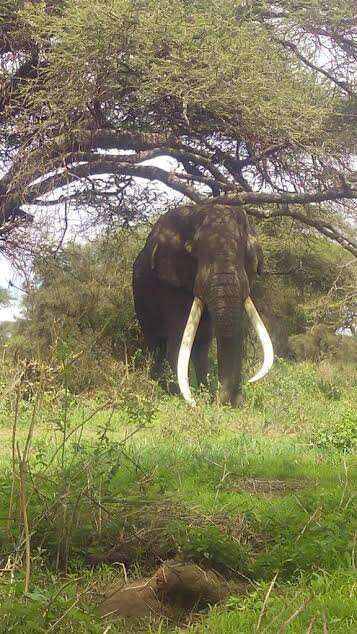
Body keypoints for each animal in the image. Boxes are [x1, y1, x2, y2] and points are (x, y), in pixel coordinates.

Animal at [132, 205, 274, 408]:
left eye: (246, 251)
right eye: (194, 251)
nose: (223, 402)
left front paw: (230, 401)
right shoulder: (171, 281)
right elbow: (179, 338)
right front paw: (181, 398)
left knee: (202, 343)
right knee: (157, 344)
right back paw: (161, 388)